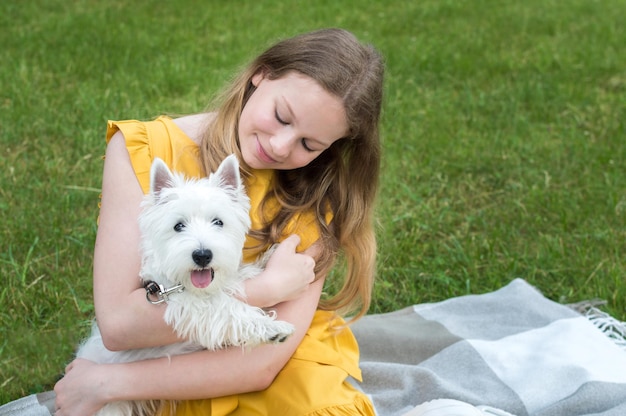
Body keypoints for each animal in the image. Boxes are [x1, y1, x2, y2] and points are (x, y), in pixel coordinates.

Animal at [75, 155, 292, 416]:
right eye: (178, 225)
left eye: (218, 222)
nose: (202, 255)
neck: (180, 283)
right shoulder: (186, 304)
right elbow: (228, 308)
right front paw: (272, 328)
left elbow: (235, 280)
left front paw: (266, 260)